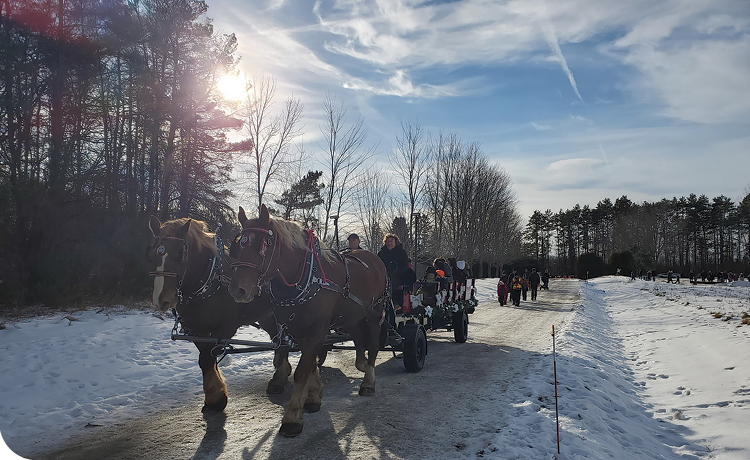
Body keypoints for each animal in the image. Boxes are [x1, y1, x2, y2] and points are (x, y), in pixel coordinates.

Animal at [148, 217, 296, 412]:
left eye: (180, 254)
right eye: (152, 253)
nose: (161, 300)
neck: (209, 283)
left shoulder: (226, 328)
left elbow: (207, 358)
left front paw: (216, 398)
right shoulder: (196, 330)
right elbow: (206, 359)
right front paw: (214, 396)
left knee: (283, 343)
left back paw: (278, 379)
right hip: (267, 317)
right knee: (278, 341)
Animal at [231, 206, 390, 438]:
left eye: (263, 245)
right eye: (238, 244)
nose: (238, 290)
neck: (304, 276)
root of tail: (373, 258)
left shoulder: (316, 328)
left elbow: (302, 370)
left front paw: (292, 417)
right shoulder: (296, 328)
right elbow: (311, 363)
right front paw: (314, 397)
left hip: (374, 313)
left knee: (373, 344)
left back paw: (368, 382)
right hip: (351, 315)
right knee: (359, 338)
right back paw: (361, 364)